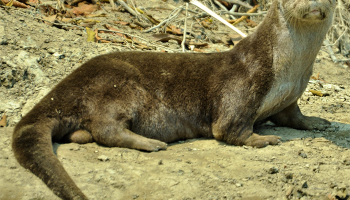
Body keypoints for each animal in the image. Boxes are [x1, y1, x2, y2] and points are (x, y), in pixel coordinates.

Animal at [11, 0, 336, 198]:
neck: (288, 72)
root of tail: (63, 89)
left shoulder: (290, 97)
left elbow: (293, 116)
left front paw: (316, 122)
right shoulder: (244, 85)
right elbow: (229, 129)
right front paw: (263, 139)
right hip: (118, 86)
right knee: (105, 127)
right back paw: (151, 143)